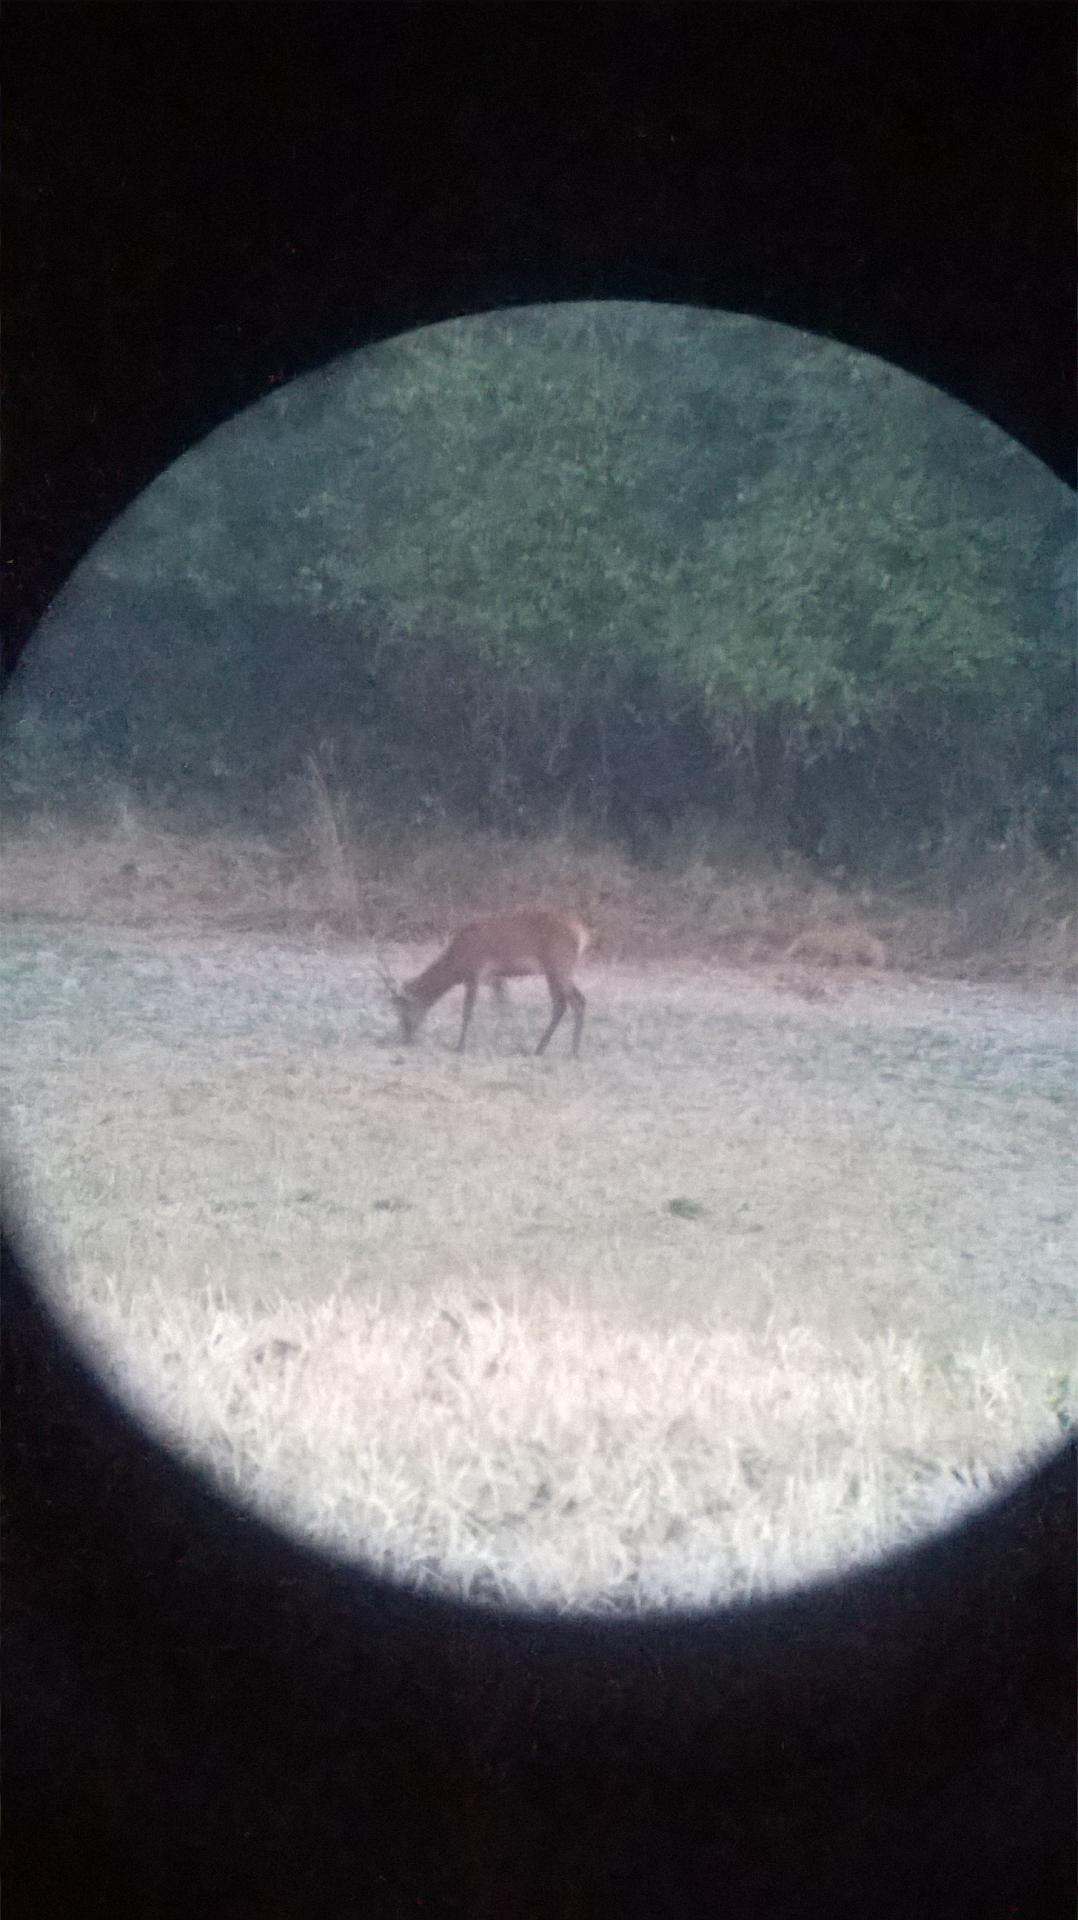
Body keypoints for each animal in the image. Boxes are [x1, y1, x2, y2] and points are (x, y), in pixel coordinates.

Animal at [384, 910, 588, 1059]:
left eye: (404, 1009)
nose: (405, 1038)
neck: (457, 964)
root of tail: (581, 932)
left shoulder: (475, 973)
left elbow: (468, 1011)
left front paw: (460, 1047)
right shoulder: (495, 977)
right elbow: (502, 1007)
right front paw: (501, 1040)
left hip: (559, 965)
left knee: (573, 1002)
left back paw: (569, 1051)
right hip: (556, 971)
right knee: (568, 1003)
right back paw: (549, 1049)